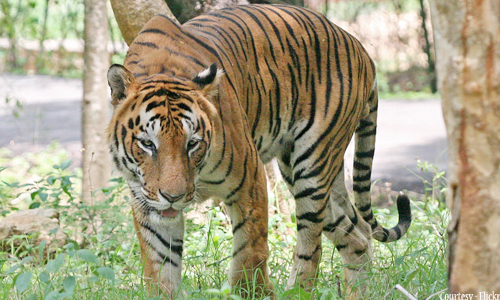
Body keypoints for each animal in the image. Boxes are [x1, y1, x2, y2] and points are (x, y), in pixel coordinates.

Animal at [105, 3, 410, 298]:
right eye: (148, 144)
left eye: (192, 143)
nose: (174, 197)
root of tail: (361, 48)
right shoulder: (147, 202)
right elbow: (160, 267)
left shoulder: (249, 179)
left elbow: (249, 251)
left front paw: (254, 291)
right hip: (309, 173)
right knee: (358, 236)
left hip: (312, 165)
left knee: (311, 245)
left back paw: (296, 291)